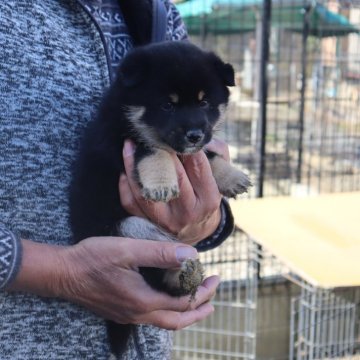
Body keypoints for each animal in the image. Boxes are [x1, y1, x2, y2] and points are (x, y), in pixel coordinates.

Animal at [69, 40, 250, 358]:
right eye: (168, 105)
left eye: (204, 102)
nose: (194, 134)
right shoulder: (117, 142)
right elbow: (154, 149)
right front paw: (162, 184)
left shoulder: (194, 150)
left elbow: (208, 155)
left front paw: (231, 176)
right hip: (129, 228)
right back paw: (182, 273)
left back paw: (187, 276)